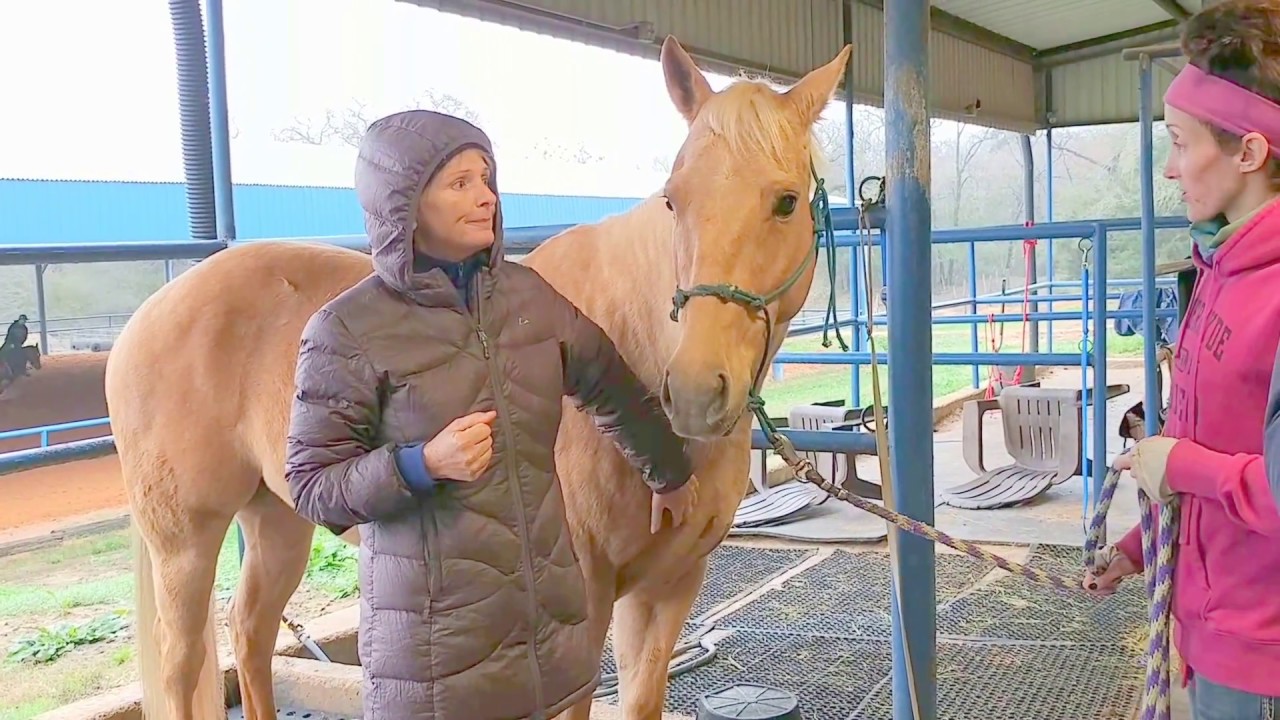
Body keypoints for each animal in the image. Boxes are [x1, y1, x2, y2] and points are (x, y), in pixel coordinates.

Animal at [103, 37, 851, 720]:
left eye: (786, 202)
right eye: (673, 201)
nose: (694, 392)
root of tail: (146, 316)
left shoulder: (668, 587)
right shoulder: (582, 600)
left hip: (278, 519)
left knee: (250, 632)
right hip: (185, 541)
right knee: (181, 664)